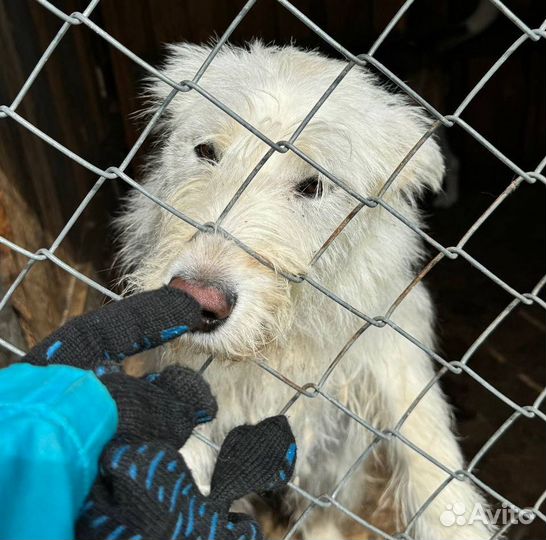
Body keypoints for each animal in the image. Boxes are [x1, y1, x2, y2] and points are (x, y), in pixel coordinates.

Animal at [117, 43, 496, 540]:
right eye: (206, 151)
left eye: (313, 186)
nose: (196, 300)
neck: (279, 344)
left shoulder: (391, 352)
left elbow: (429, 448)